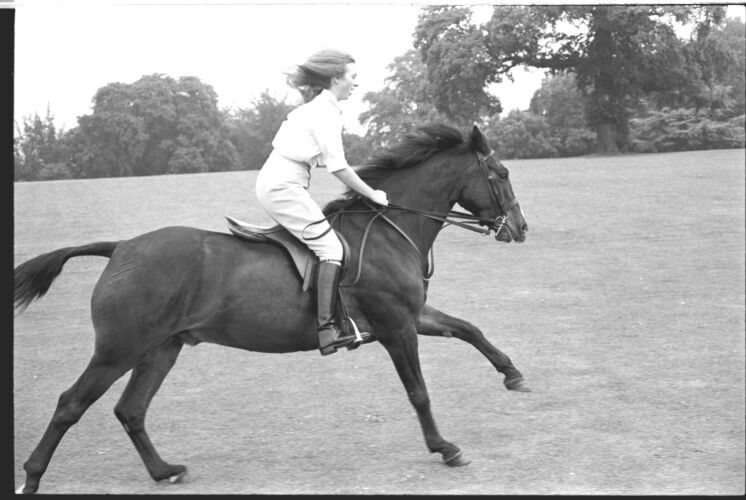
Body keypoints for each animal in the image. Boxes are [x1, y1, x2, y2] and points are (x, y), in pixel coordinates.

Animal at [14, 124, 528, 492]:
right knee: (70, 404)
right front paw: (445, 447)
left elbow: (468, 329)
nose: (520, 228)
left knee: (131, 410)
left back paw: (164, 470)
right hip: (119, 350)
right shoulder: (395, 326)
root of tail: (120, 247)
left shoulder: (411, 317)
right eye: (501, 174)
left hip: (162, 348)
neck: (389, 228)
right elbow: (419, 392)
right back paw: (33, 476)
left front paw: (512, 374)